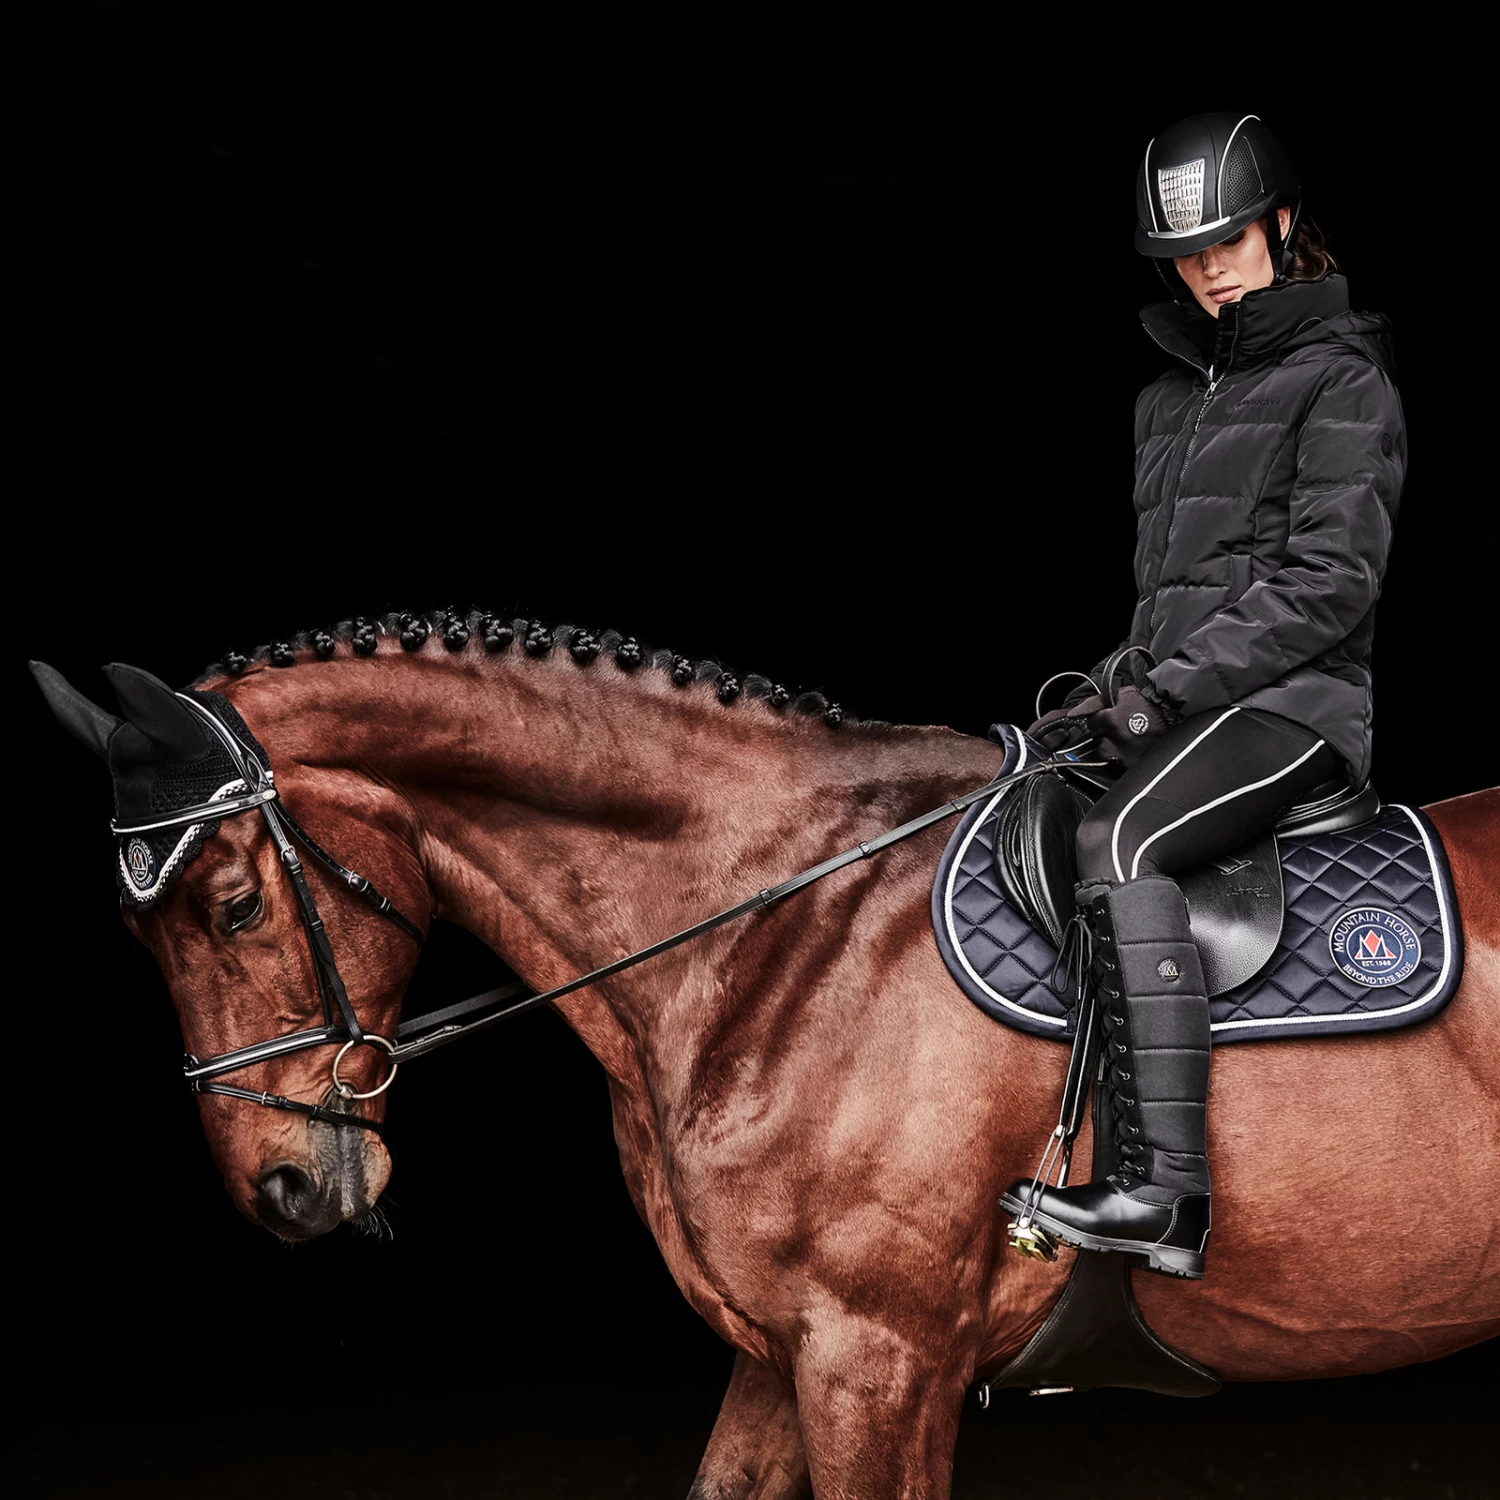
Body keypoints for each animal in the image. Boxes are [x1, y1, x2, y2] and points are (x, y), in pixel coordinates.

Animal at [32, 613, 1500, 1500]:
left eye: (232, 904)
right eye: (133, 931)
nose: (279, 1190)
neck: (783, 923)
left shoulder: (880, 1362)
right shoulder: (778, 1352)